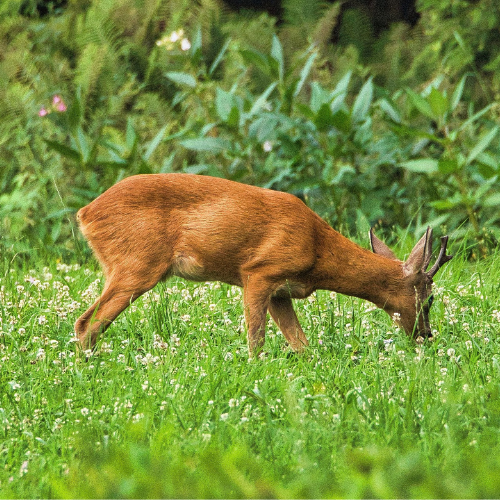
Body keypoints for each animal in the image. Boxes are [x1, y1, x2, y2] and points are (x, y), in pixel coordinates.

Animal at [74, 174, 454, 358]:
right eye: (430, 298)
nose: (426, 334)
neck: (317, 249)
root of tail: (85, 213)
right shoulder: (259, 271)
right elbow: (255, 341)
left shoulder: (281, 292)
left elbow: (301, 344)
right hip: (138, 263)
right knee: (87, 323)